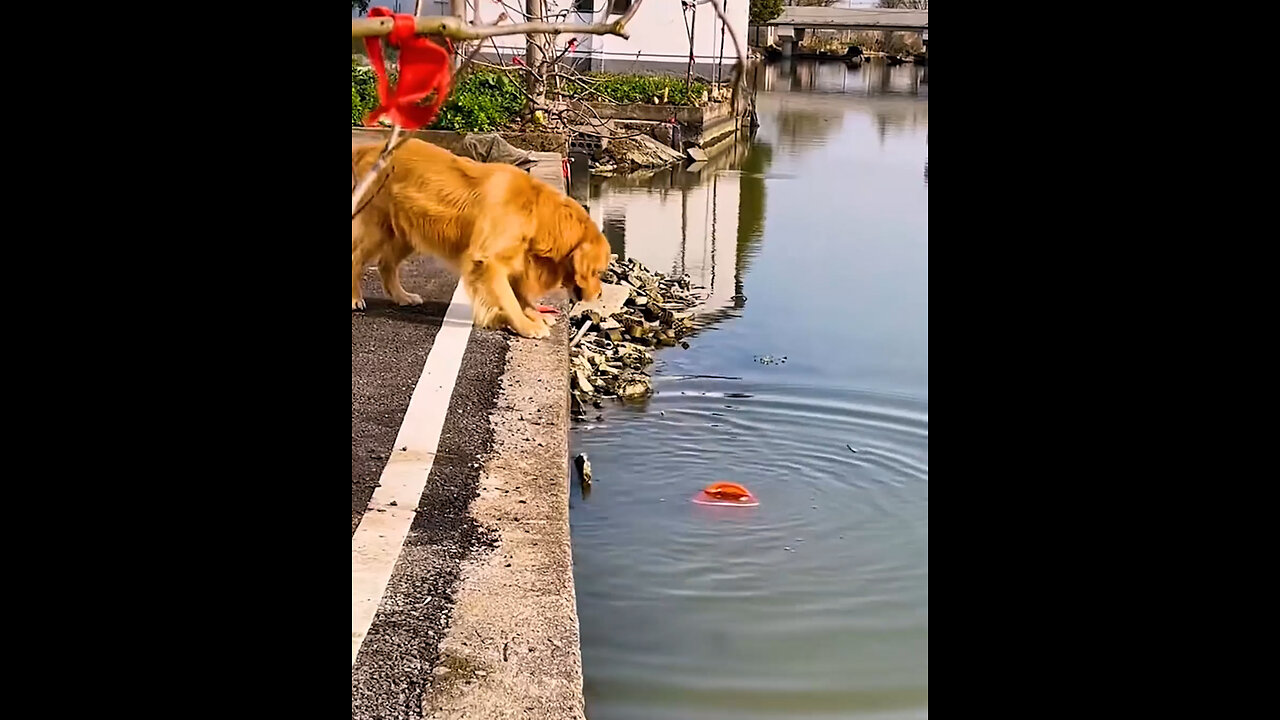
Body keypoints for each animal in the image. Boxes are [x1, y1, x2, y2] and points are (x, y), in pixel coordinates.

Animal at [350, 139, 609, 338]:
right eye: (597, 272)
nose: (599, 295)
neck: (536, 213)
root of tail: (369, 148)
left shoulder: (515, 259)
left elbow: (518, 294)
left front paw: (533, 314)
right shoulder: (488, 262)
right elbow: (508, 298)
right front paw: (526, 325)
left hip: (407, 233)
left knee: (386, 263)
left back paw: (402, 296)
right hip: (376, 226)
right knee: (356, 257)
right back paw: (354, 298)